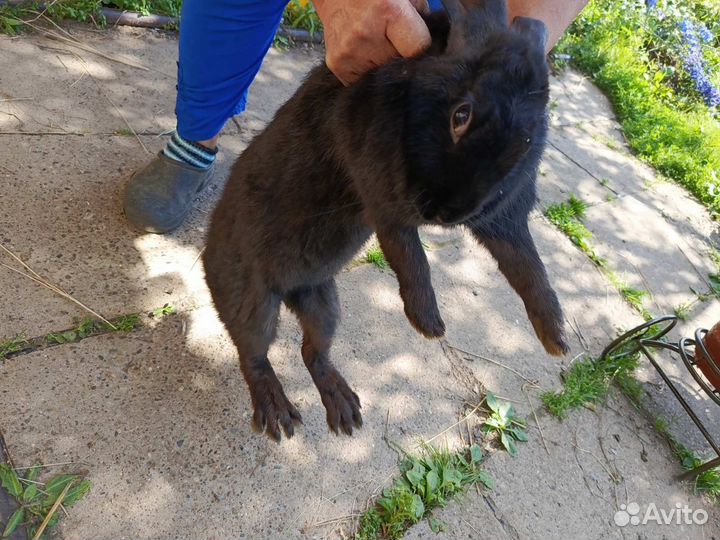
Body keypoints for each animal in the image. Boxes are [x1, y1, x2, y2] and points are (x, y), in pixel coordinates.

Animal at [203, 0, 569, 442]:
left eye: (528, 142)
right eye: (461, 115)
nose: (446, 214)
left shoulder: (502, 221)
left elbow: (527, 265)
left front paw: (556, 338)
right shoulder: (382, 192)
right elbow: (408, 252)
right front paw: (429, 323)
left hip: (324, 304)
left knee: (313, 351)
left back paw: (345, 410)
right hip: (253, 299)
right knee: (253, 353)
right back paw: (278, 416)